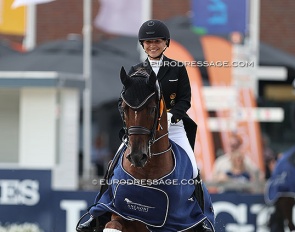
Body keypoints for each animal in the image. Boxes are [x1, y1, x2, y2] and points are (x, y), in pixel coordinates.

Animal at [80, 67, 216, 232]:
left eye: (152, 109)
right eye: (123, 109)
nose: (137, 156)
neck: (147, 171)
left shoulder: (174, 223)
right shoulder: (120, 212)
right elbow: (113, 225)